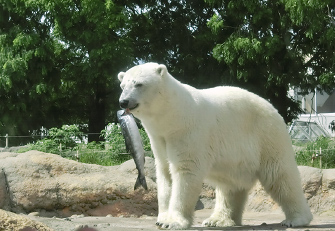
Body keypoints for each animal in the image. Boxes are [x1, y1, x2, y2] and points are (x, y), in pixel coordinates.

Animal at [117, 61, 312, 229]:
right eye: (123, 85)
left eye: (139, 84)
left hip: (267, 136)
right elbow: (165, 173)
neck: (173, 116)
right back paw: (218, 220)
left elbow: (185, 171)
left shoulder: (187, 132)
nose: (123, 102)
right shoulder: (160, 138)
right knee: (230, 185)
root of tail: (274, 109)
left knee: (280, 175)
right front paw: (162, 219)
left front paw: (172, 222)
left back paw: (296, 219)